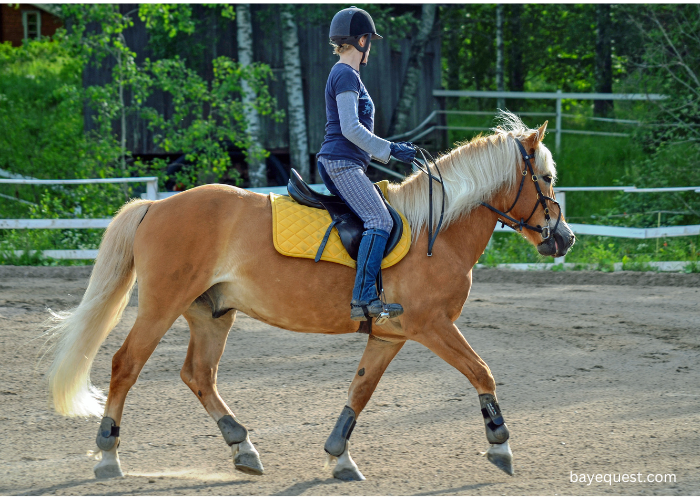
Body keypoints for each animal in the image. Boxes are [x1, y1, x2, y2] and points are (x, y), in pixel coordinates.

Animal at [46, 112, 576, 480]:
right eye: (547, 179)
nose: (564, 238)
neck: (437, 231)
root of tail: (156, 205)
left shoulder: (390, 334)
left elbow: (360, 391)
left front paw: (339, 458)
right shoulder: (432, 325)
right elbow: (480, 371)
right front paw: (500, 444)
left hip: (212, 314)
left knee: (198, 375)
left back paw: (242, 446)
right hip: (162, 306)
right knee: (126, 365)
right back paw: (108, 456)